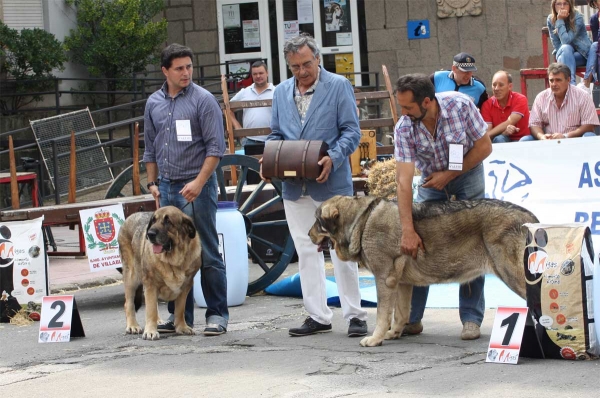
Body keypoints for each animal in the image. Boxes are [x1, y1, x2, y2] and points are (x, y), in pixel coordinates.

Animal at [118, 207, 200, 340]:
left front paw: (182, 327)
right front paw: (150, 331)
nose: (150, 234)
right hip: (132, 276)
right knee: (129, 304)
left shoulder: (185, 287)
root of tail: (129, 217)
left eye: (168, 221)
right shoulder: (151, 284)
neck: (174, 261)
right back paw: (132, 326)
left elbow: (180, 310)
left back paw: (158, 321)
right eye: (153, 220)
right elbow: (150, 310)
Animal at [310, 197, 540, 346]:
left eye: (317, 222)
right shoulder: (402, 284)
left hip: (512, 274)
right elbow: (401, 313)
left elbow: (382, 315)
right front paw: (394, 333)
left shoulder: (384, 280)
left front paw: (375, 339)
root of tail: (529, 217)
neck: (362, 221)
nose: (308, 234)